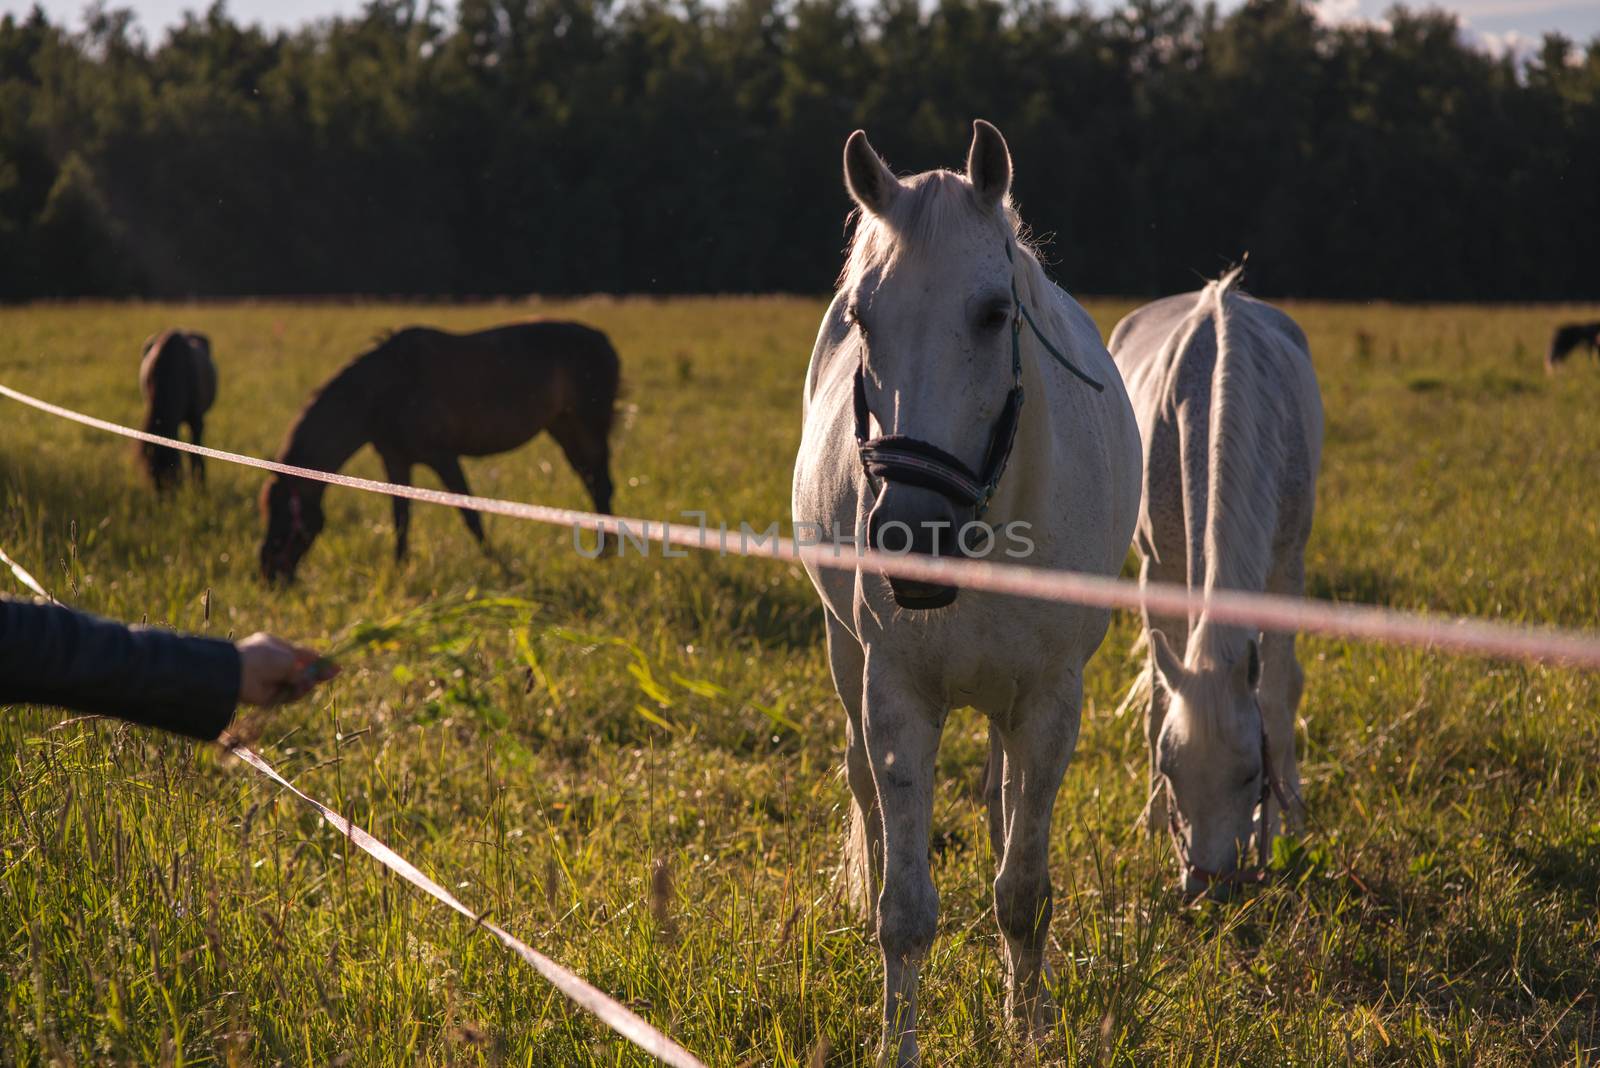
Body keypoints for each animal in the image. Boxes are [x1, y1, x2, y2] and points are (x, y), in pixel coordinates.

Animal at [139, 329, 217, 492]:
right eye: (152, 474)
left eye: (172, 474)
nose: (164, 497)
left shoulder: (196, 421)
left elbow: (196, 455)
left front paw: (200, 489)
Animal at [259, 321, 614, 585]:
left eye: (283, 518)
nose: (268, 574)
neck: (382, 390)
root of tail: (603, 339)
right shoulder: (396, 461)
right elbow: (401, 518)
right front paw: (399, 571)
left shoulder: (443, 457)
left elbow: (470, 514)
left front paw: (500, 567)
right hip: (563, 427)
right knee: (592, 483)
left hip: (589, 428)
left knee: (601, 487)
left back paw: (606, 557)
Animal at [793, 120, 1145, 1061]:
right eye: (863, 316)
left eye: (993, 313)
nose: (912, 536)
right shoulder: (896, 697)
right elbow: (906, 909)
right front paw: (897, 1043)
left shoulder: (1051, 702)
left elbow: (1023, 892)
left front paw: (1030, 1031)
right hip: (846, 654)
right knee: (867, 793)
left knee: (1002, 800)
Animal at [1113, 271, 1324, 895]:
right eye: (1169, 769)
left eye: (1250, 773)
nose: (1206, 882)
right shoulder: (1158, 570)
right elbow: (1159, 698)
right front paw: (1152, 825)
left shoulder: (1287, 571)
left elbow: (1275, 699)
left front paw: (1279, 834)